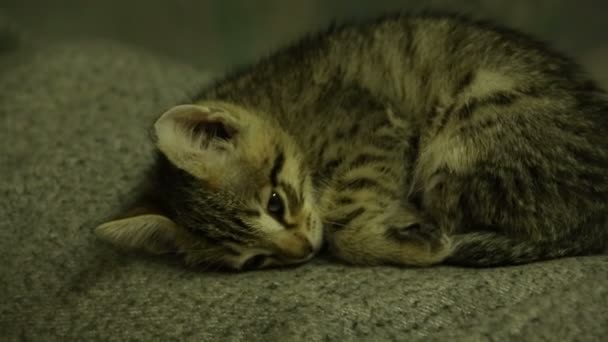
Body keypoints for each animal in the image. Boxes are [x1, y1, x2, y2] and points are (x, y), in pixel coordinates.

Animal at [95, 12, 608, 270]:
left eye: (276, 202)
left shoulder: (375, 127)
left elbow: (343, 225)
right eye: (257, 262)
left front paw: (402, 243)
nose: (302, 252)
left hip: (461, 139)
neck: (275, 104)